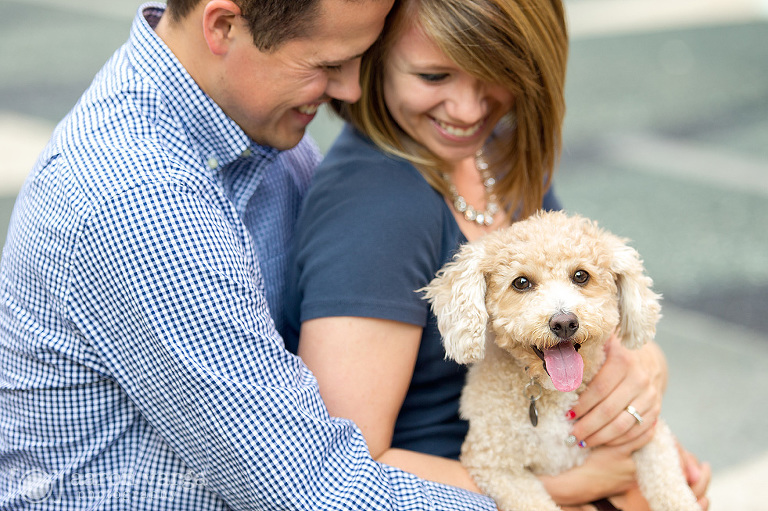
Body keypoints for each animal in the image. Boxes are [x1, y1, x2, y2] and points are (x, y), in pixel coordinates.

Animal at [424, 211, 700, 511]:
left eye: (581, 276)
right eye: (521, 282)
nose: (565, 322)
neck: (554, 395)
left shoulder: (649, 435)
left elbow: (669, 485)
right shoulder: (494, 465)